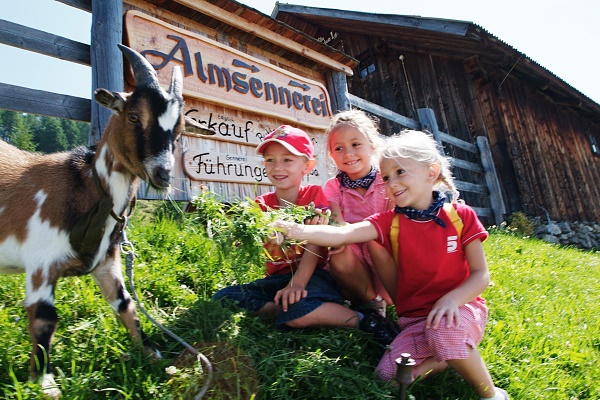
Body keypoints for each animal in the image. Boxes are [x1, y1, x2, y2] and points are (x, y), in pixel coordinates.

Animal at [0, 43, 213, 396]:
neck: (89, 187)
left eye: (180, 131)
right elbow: (45, 317)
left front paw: (151, 354)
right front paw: (44, 384)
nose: (163, 174)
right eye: (133, 115)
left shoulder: (106, 261)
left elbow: (126, 305)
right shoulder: (41, 261)